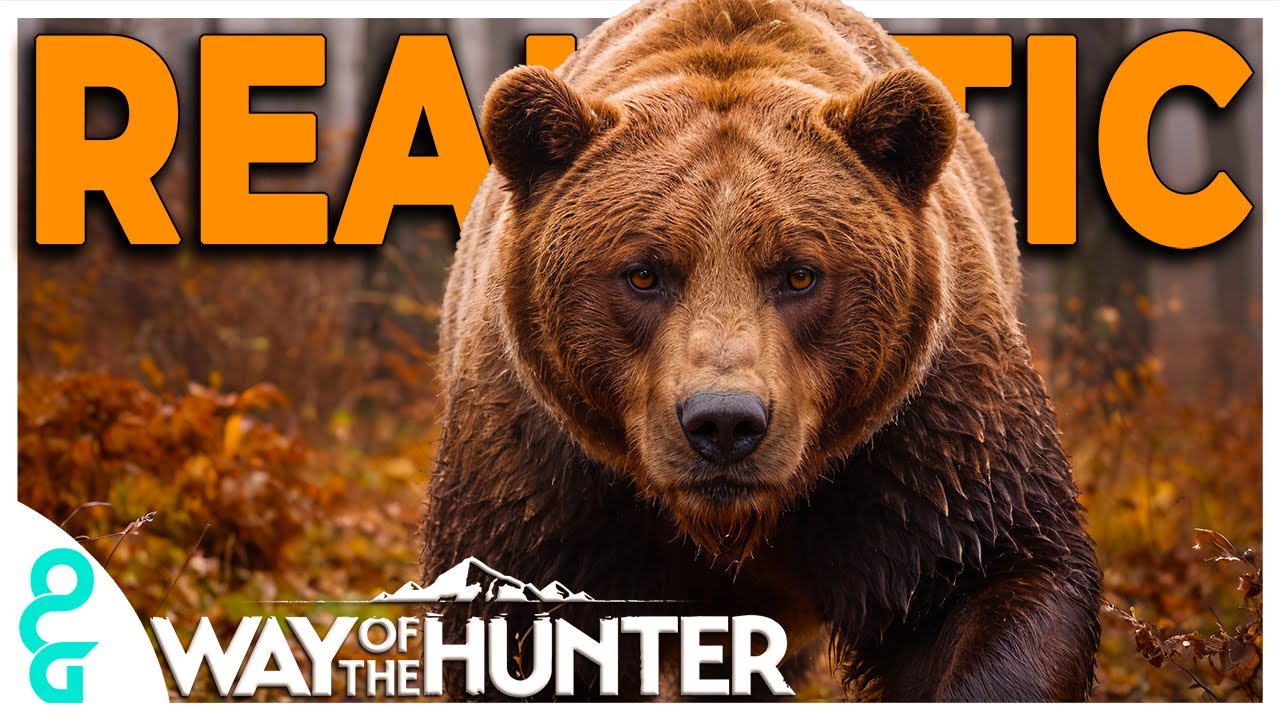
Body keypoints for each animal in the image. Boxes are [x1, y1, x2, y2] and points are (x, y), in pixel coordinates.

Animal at [422, 0, 1102, 701]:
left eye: (800, 273)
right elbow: (525, 631)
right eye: (643, 273)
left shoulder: (918, 433)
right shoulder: (546, 468)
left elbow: (991, 573)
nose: (724, 422)